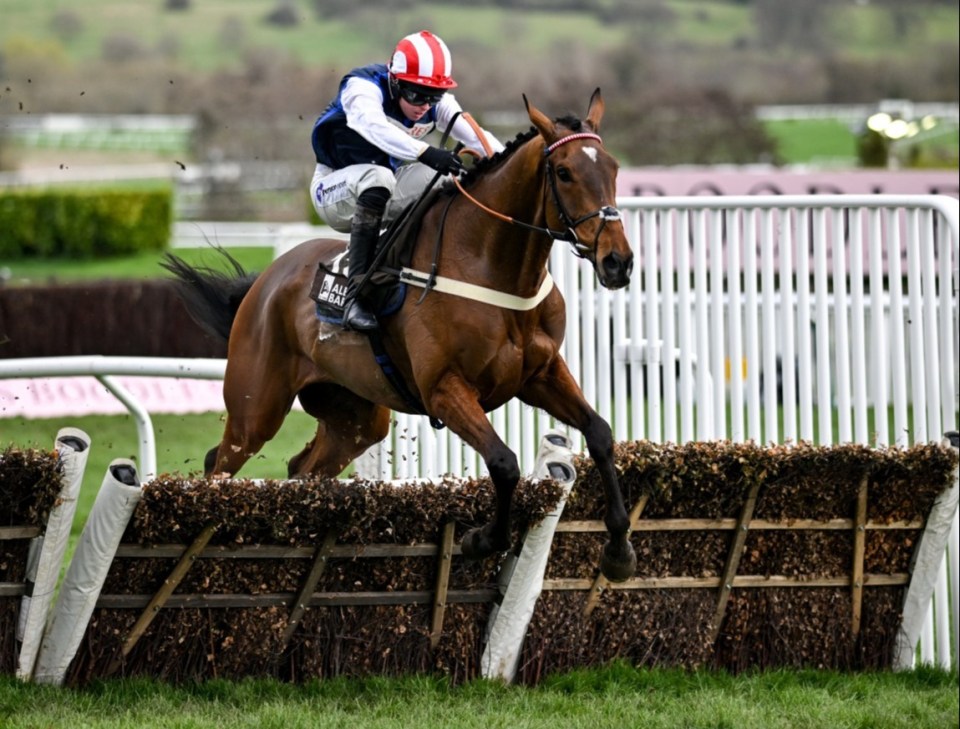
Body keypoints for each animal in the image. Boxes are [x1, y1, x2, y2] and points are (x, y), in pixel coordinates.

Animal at [167, 89, 636, 580]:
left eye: (613, 168)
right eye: (564, 172)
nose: (617, 261)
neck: (494, 268)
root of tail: (265, 282)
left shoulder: (540, 375)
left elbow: (600, 433)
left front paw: (619, 548)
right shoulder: (444, 390)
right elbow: (504, 463)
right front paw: (483, 538)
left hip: (354, 418)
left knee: (303, 467)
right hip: (255, 407)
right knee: (219, 464)